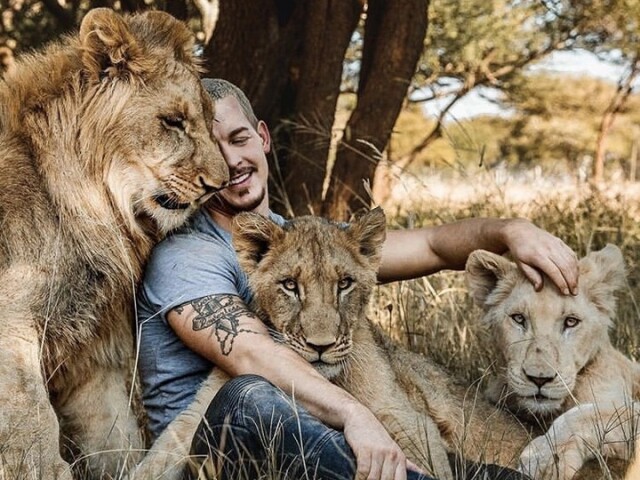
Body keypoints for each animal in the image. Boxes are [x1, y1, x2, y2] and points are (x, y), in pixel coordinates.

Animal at [0, 7, 229, 480]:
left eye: (208, 121)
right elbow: (33, 429)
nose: (219, 185)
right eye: (173, 121)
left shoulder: (91, 348)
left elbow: (115, 438)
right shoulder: (11, 328)